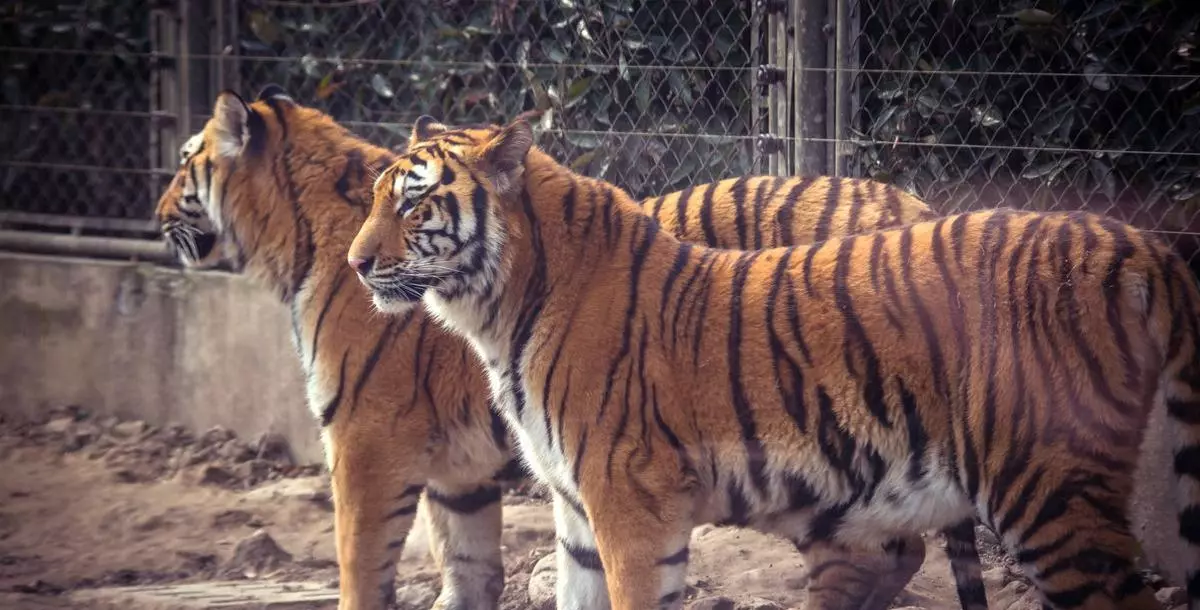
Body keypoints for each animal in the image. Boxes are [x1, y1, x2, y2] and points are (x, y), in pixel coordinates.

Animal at [154, 87, 984, 610]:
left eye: (186, 161)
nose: (155, 212)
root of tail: (912, 203)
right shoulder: (459, 476)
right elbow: (468, 575)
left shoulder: (366, 445)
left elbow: (360, 573)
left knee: (879, 554)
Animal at [347, 113, 1200, 610]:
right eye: (377, 197)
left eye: (413, 202)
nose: (355, 264)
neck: (497, 312)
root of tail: (1138, 241)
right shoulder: (578, 508)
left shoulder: (631, 505)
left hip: (1049, 491)